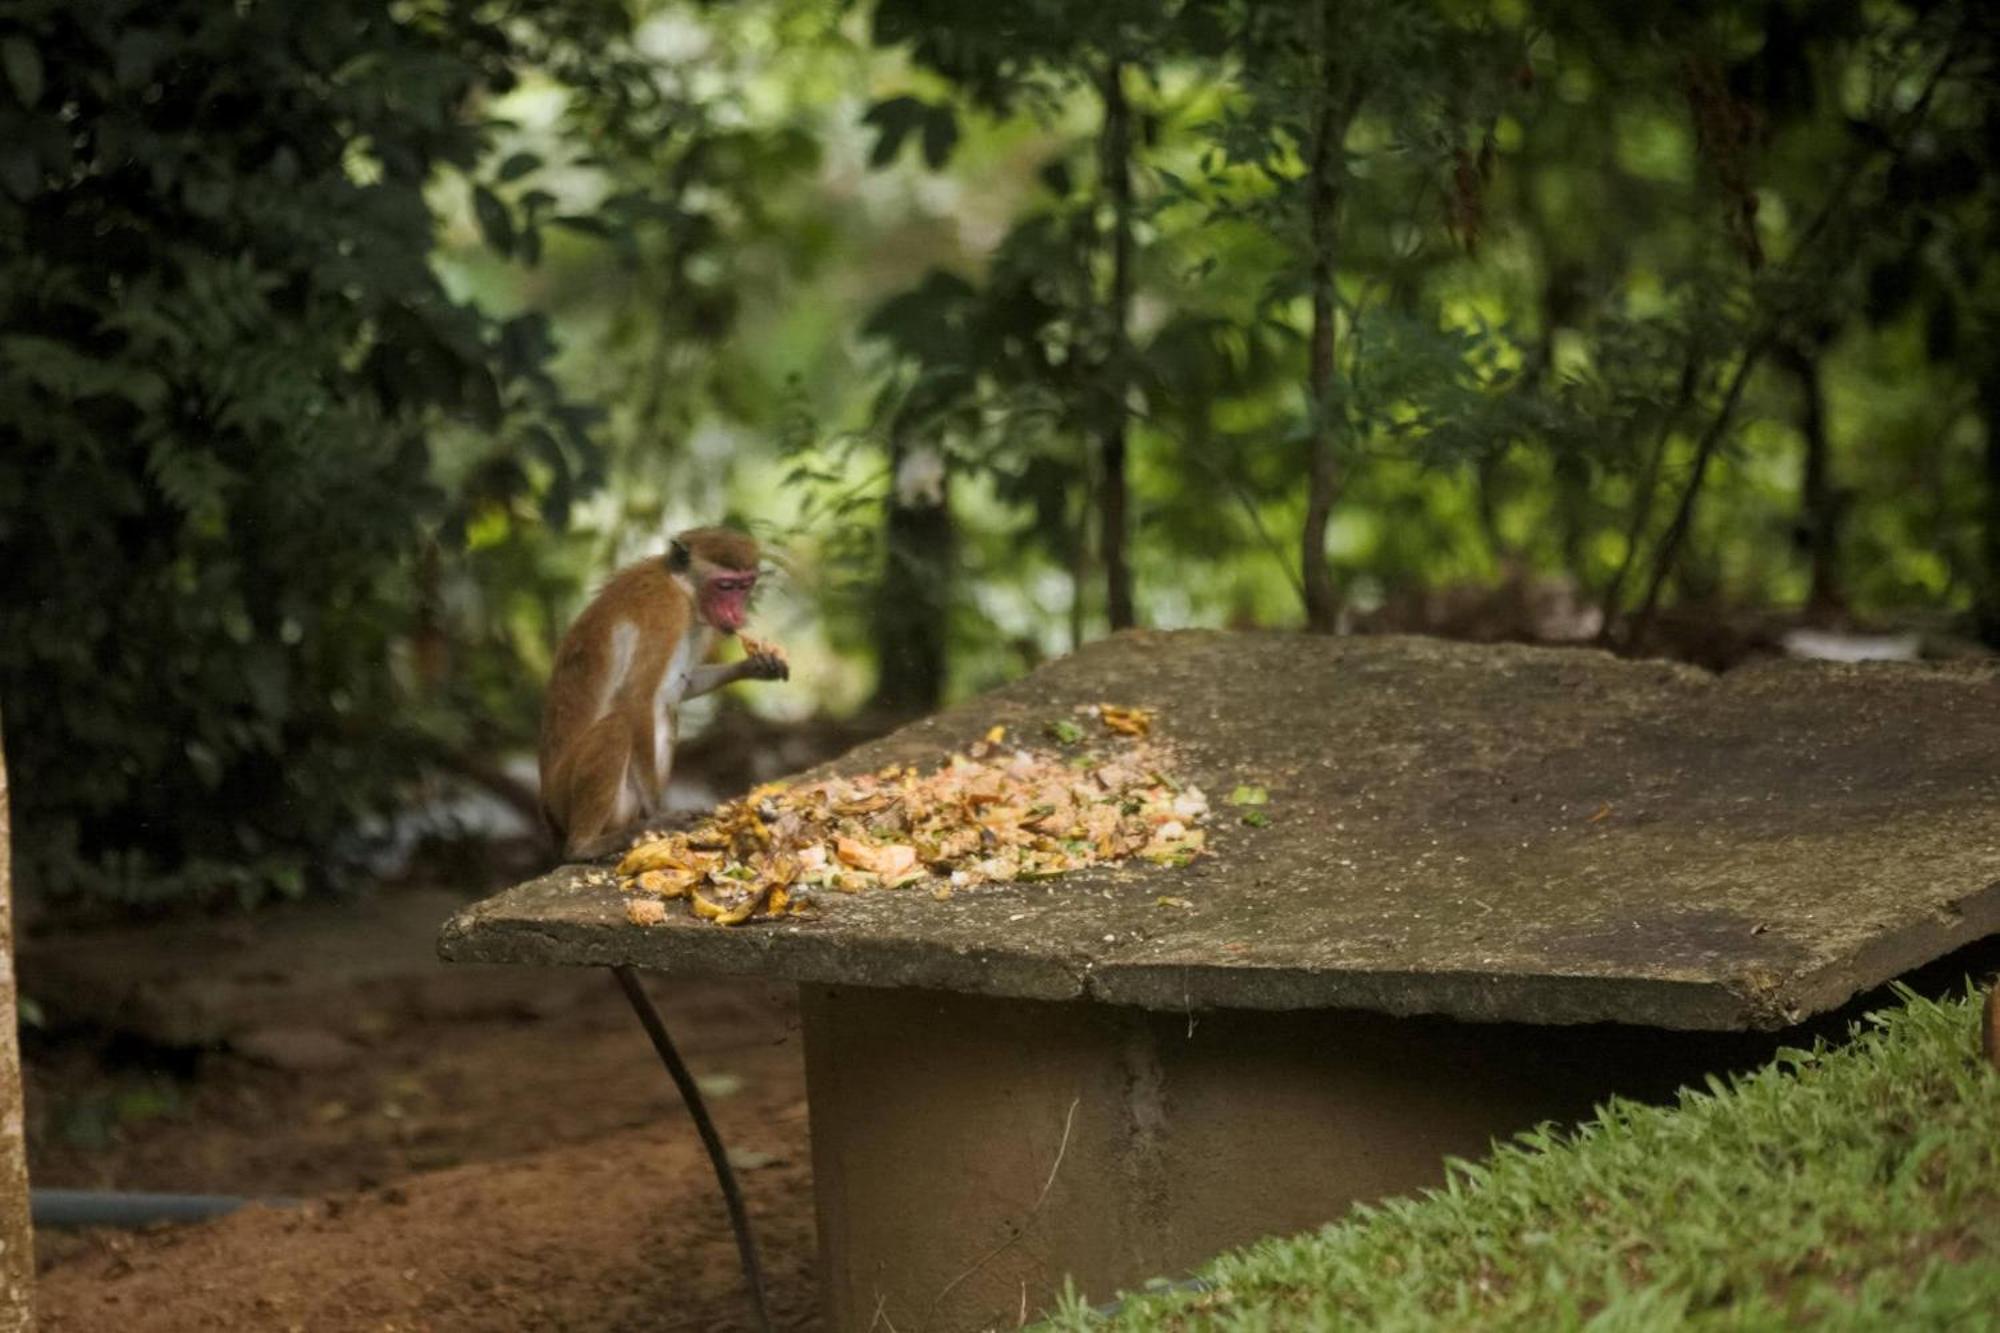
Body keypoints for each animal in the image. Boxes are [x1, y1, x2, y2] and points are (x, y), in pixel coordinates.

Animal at [540, 524, 788, 856]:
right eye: (725, 586)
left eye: (745, 585)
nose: (738, 615)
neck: (683, 588)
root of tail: (549, 816)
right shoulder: (666, 611)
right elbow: (637, 697)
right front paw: (658, 815)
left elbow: (685, 684)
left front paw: (760, 664)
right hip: (564, 798)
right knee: (618, 725)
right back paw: (585, 846)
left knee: (668, 710)